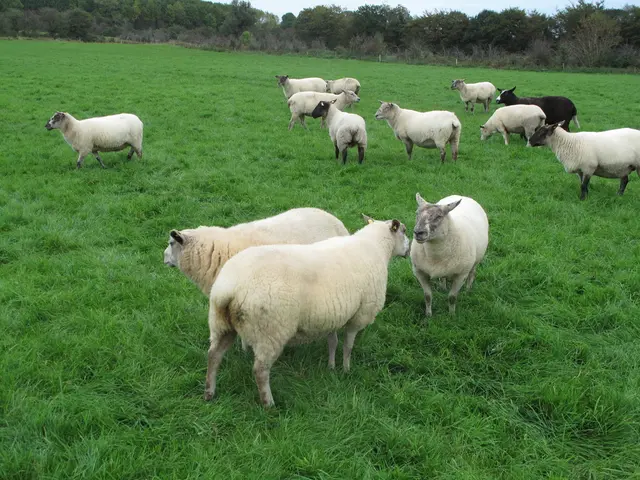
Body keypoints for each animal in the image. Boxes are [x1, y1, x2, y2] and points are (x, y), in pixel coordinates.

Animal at [204, 214, 411, 407]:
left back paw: (209, 392)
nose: (409, 250)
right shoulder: (360, 315)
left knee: (213, 355)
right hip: (270, 331)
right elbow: (348, 346)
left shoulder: (332, 315)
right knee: (260, 370)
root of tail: (229, 288)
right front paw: (346, 369)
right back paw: (268, 403)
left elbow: (333, 342)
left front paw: (331, 367)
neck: (375, 247)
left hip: (220, 323)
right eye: (404, 230)